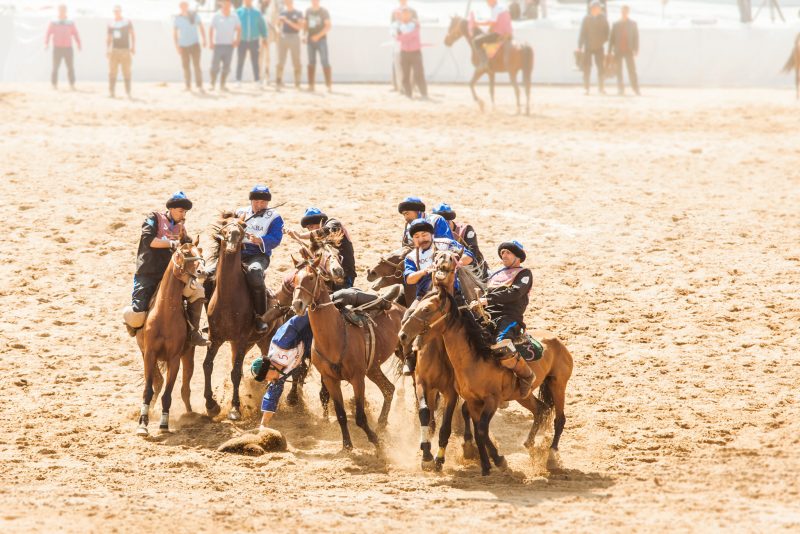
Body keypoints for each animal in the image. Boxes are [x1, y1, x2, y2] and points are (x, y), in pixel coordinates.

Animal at [135, 237, 208, 436]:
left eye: (200, 251)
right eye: (185, 252)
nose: (203, 272)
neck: (165, 315)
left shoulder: (174, 358)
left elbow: (168, 394)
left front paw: (164, 424)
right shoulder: (150, 354)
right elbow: (148, 390)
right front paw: (142, 424)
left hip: (188, 357)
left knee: (185, 389)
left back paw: (190, 414)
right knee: (158, 383)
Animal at [292, 250, 405, 451]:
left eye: (311, 277)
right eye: (293, 280)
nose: (297, 304)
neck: (334, 336)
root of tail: (401, 308)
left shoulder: (357, 379)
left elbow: (360, 417)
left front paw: (375, 441)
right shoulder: (330, 380)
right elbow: (341, 415)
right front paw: (347, 445)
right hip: (373, 368)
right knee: (389, 389)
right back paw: (382, 423)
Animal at [399, 284, 574, 475]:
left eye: (427, 309)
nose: (403, 335)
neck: (474, 359)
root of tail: (556, 340)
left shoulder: (490, 400)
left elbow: (480, 430)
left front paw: (498, 461)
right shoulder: (472, 401)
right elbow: (478, 431)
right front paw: (486, 464)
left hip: (558, 384)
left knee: (559, 420)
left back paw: (551, 456)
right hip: (523, 395)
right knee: (540, 410)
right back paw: (529, 443)